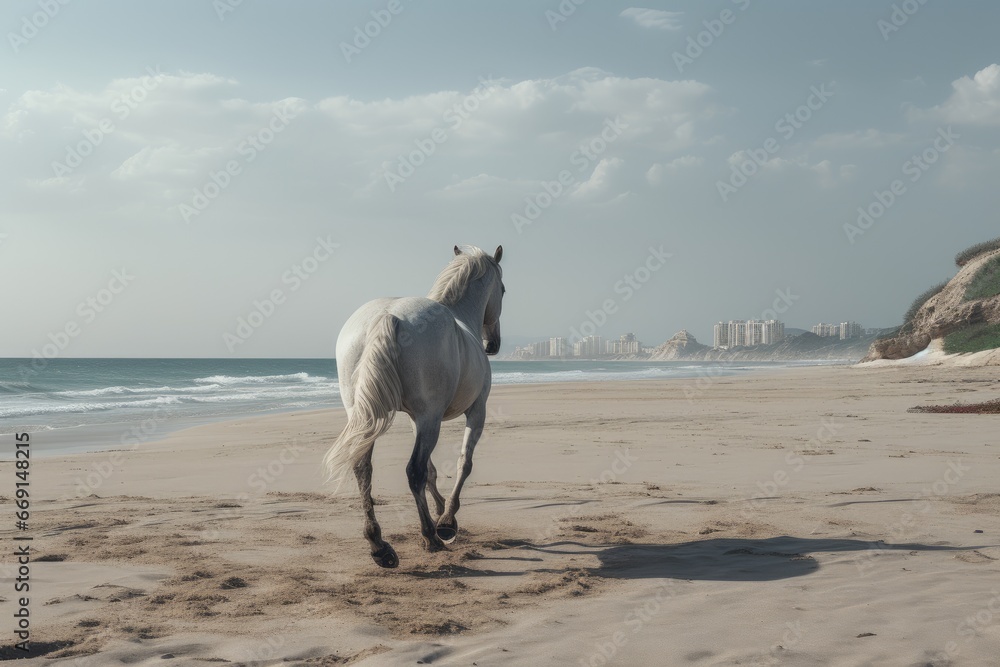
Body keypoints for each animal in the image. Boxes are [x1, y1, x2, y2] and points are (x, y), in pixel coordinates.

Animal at [324, 243, 504, 568]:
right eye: (503, 290)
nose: (492, 345)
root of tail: (388, 316)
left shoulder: (415, 419)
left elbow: (432, 470)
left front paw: (440, 510)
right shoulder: (476, 411)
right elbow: (463, 463)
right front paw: (446, 521)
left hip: (367, 417)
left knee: (363, 468)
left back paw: (379, 545)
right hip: (430, 419)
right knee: (414, 471)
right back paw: (430, 537)